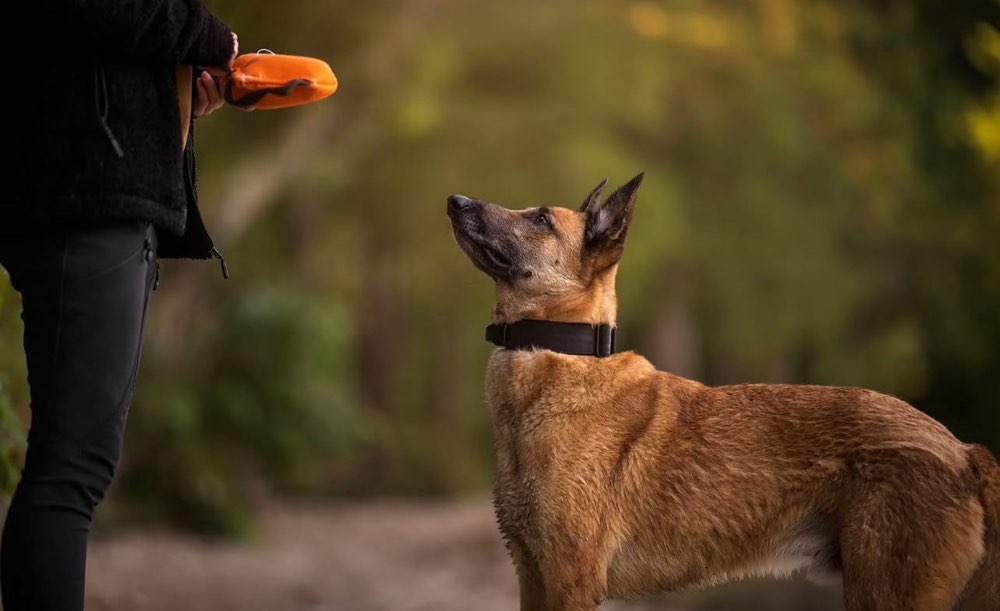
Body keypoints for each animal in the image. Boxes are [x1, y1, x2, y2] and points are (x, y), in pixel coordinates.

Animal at [446, 172, 1000, 611]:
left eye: (541, 219)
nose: (455, 199)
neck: (558, 351)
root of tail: (965, 451)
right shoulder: (532, 577)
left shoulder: (568, 581)